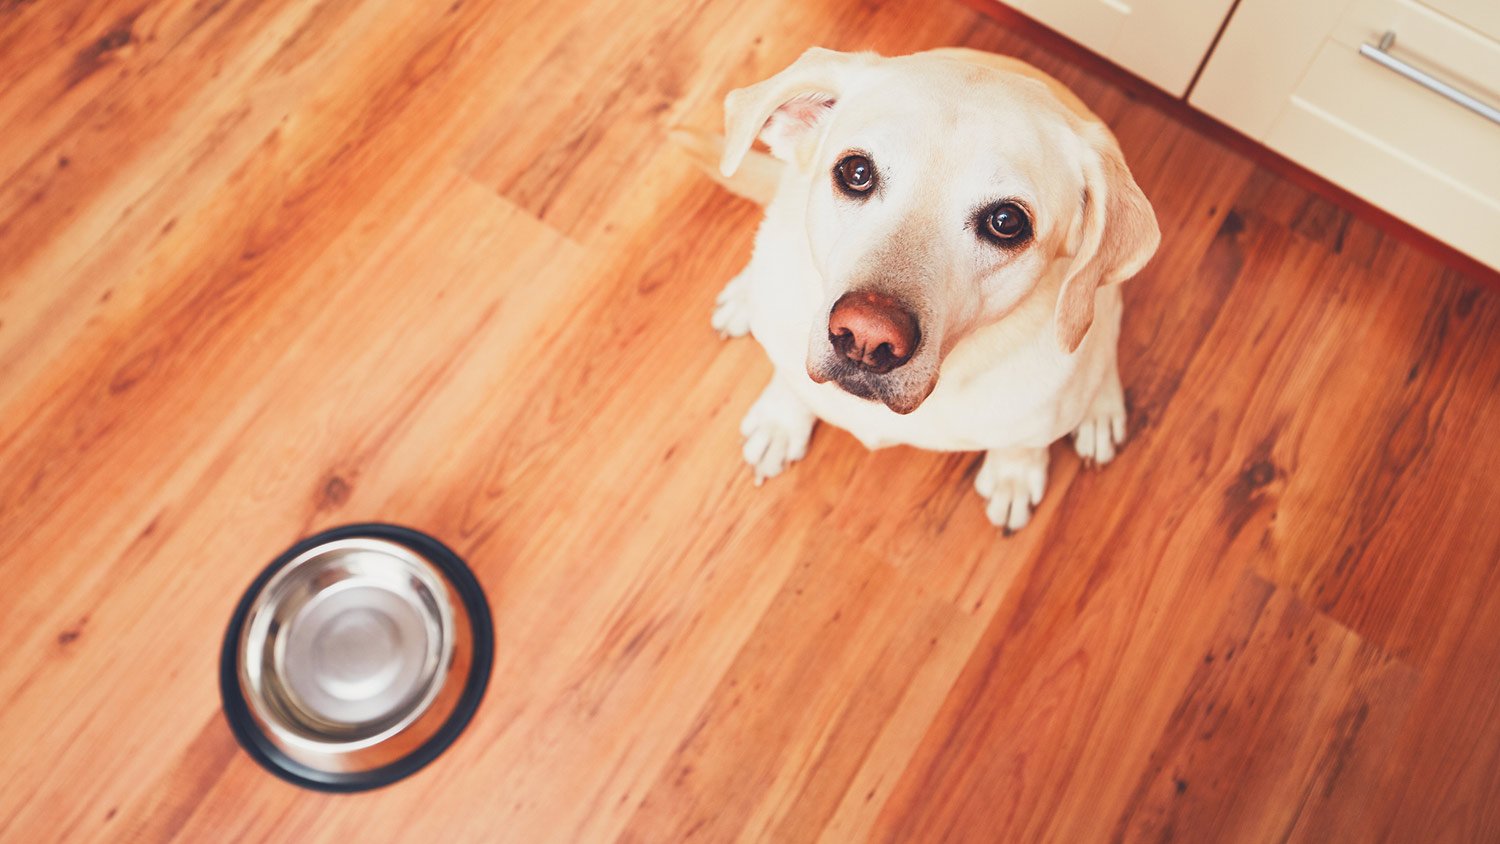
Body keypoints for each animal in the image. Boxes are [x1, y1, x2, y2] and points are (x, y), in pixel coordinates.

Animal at [681, 46, 1158, 530]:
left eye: (1007, 222)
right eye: (856, 171)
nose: (866, 336)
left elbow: (1024, 443)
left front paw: (1014, 475)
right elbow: (791, 382)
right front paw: (782, 420)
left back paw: (1101, 409)